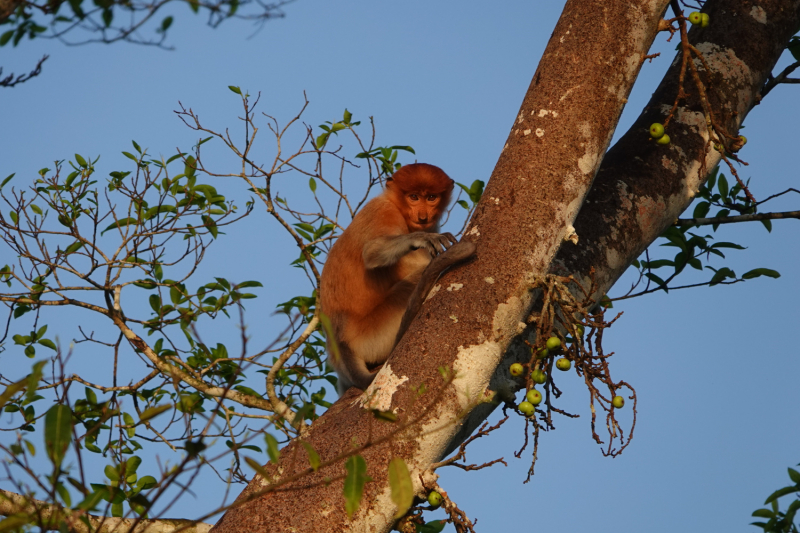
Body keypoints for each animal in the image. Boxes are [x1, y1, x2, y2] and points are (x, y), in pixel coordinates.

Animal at [320, 164, 476, 392]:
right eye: (413, 197)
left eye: (431, 197)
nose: (423, 216)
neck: (396, 203)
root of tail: (341, 346)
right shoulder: (383, 212)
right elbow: (373, 252)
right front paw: (422, 238)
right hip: (374, 332)